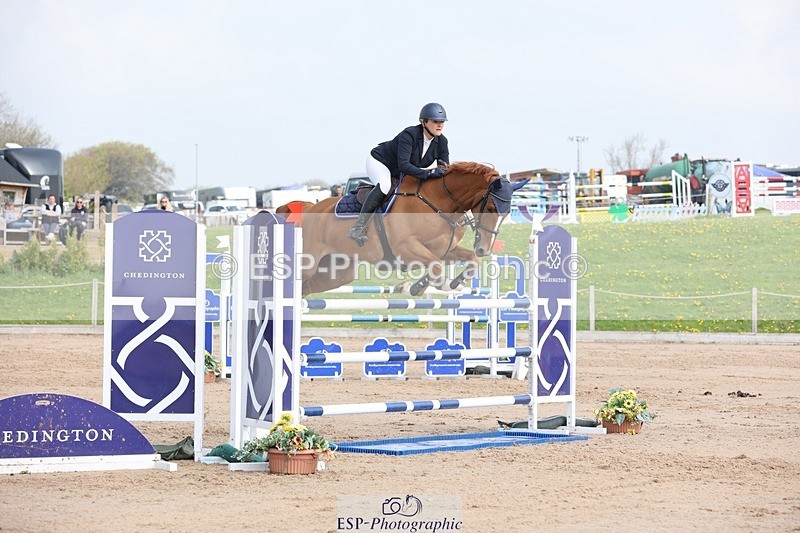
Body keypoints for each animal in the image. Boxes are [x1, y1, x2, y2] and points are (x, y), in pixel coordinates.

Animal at [277, 162, 527, 295]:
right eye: (492, 207)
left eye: (507, 212)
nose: (484, 248)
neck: (439, 203)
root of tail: (308, 208)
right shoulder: (406, 248)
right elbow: (436, 268)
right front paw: (418, 286)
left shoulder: (445, 250)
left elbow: (469, 261)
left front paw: (454, 283)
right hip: (309, 263)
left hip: (337, 273)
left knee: (306, 289)